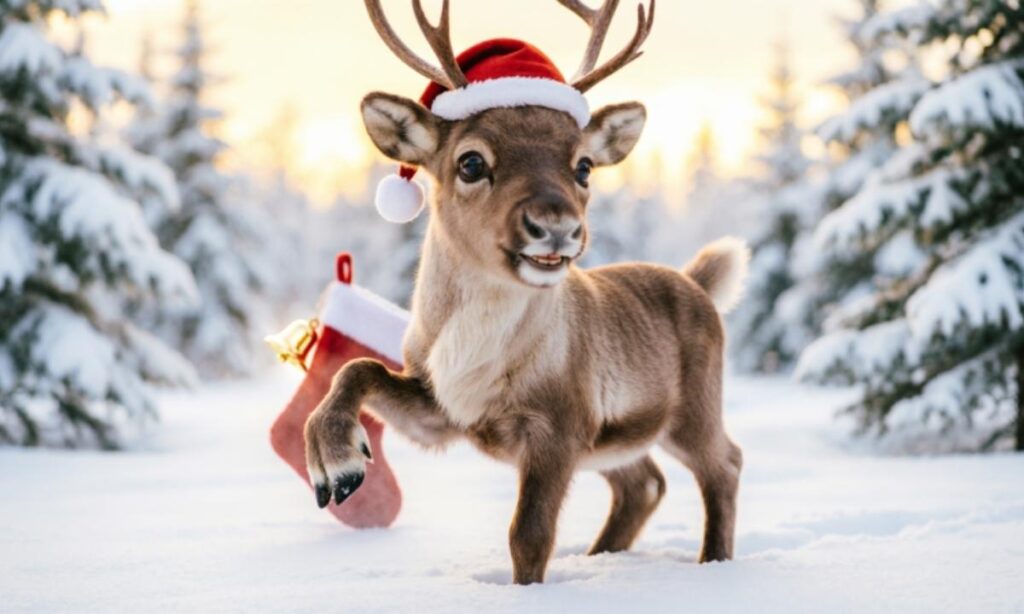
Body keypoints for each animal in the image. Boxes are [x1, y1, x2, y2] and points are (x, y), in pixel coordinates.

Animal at [304, 0, 748, 585]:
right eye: (471, 161)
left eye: (583, 165)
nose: (556, 227)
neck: (477, 351)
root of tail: (697, 281)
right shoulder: (444, 409)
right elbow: (359, 367)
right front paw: (336, 461)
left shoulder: (560, 424)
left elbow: (529, 536)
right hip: (618, 438)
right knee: (644, 483)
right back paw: (601, 557)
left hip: (693, 406)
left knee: (724, 463)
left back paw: (713, 563)